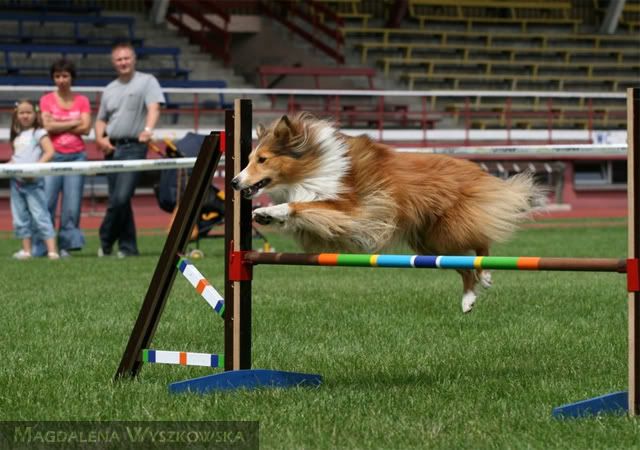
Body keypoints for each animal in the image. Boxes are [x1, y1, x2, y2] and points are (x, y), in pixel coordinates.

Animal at [231, 113, 545, 313]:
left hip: (449, 232)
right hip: (430, 244)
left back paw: (487, 273)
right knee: (463, 265)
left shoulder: (350, 209)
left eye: (262, 159)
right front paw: (265, 214)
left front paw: (271, 209)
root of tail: (478, 171)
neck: (312, 164)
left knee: (481, 244)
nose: (234, 182)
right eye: (248, 159)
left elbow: (302, 205)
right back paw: (468, 299)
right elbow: (301, 211)